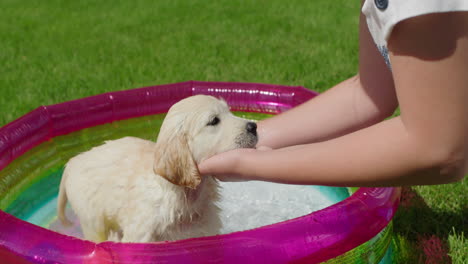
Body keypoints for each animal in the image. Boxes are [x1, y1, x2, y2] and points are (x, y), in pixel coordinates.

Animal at [57, 95, 260, 243]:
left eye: (229, 112)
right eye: (214, 121)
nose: (254, 126)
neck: (185, 196)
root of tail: (73, 161)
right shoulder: (141, 235)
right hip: (92, 220)